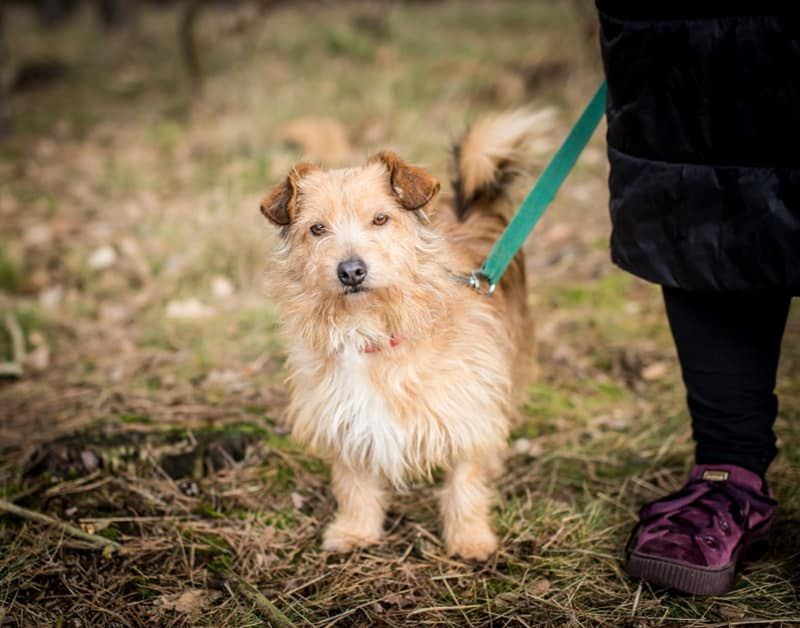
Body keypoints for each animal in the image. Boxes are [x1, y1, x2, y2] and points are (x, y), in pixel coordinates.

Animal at [260, 111, 540, 560]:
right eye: (317, 229)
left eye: (380, 219)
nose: (351, 270)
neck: (371, 331)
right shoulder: (345, 419)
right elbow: (353, 485)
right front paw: (355, 531)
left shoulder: (467, 407)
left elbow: (465, 483)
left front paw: (470, 539)